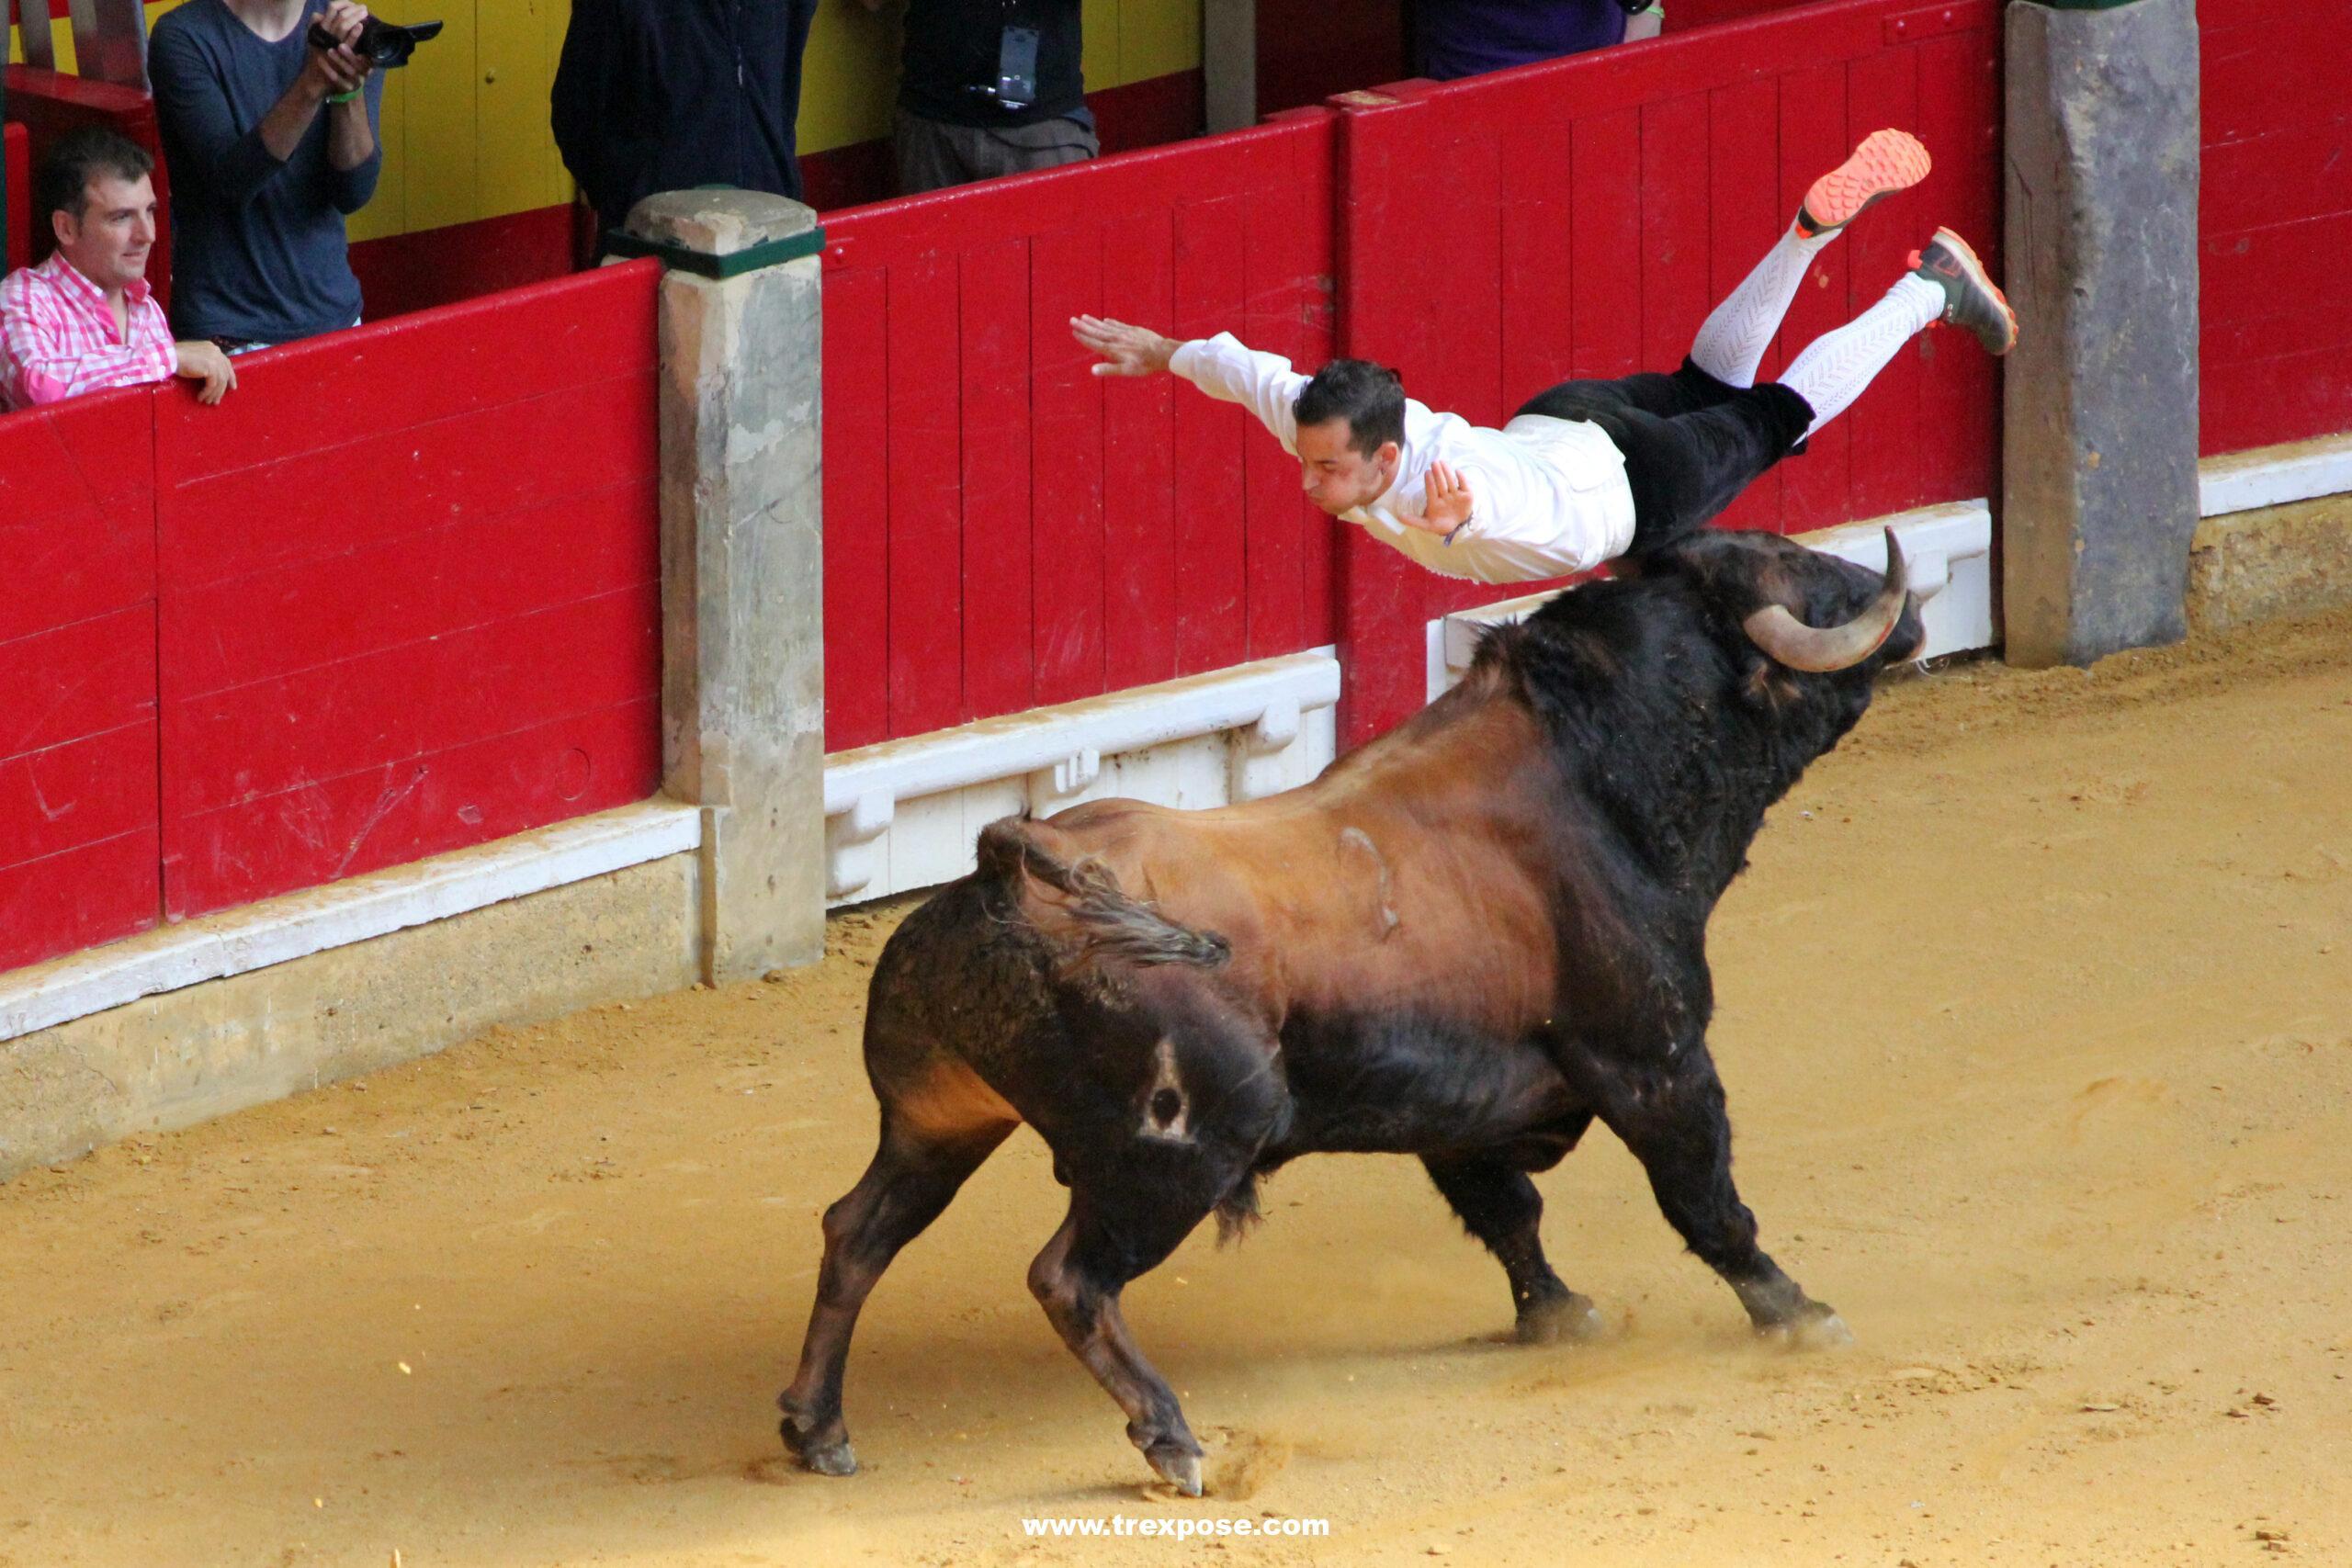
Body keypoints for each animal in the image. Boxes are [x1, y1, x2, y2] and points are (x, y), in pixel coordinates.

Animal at [780, 522, 1918, 1495]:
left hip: (937, 1120)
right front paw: (1799, 1315)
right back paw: (1171, 1438)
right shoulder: (1658, 1060)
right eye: (1793, 567)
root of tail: (1010, 868)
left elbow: (1509, 1213)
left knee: (858, 1231)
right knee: (1069, 1279)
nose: (1901, 613)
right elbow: (1706, 1200)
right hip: (1175, 1155)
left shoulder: (1462, 1100)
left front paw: (1558, 1317)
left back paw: (817, 1426)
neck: (1591, 787)